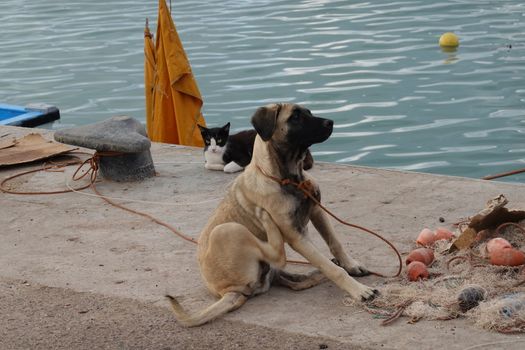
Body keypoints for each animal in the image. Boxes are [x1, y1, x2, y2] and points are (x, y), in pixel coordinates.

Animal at [166, 102, 374, 326]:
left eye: (308, 112)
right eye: (295, 117)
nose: (331, 122)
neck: (289, 177)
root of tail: (228, 292)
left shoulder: (317, 210)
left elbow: (335, 244)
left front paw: (351, 265)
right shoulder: (296, 236)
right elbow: (334, 269)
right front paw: (359, 291)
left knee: (292, 279)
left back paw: (313, 274)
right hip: (227, 230)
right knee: (279, 255)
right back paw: (267, 221)